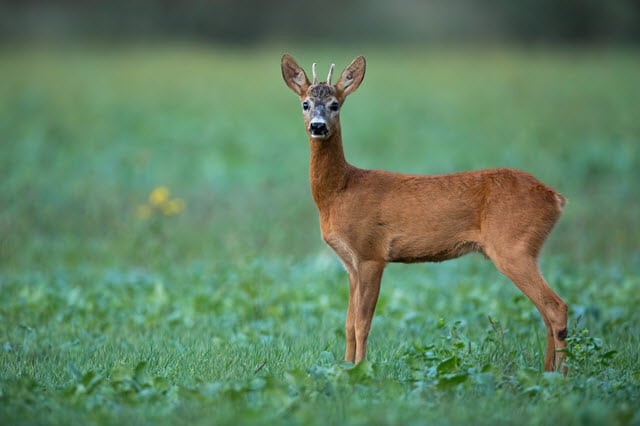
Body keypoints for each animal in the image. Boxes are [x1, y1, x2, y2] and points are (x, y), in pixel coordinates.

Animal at [282, 54, 568, 372]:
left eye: (335, 104)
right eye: (305, 103)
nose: (318, 126)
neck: (341, 191)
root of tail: (555, 197)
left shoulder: (371, 254)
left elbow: (362, 324)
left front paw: (361, 370)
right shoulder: (351, 263)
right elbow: (346, 324)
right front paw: (345, 368)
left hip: (513, 246)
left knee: (556, 307)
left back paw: (562, 375)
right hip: (525, 248)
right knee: (545, 312)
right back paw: (547, 371)